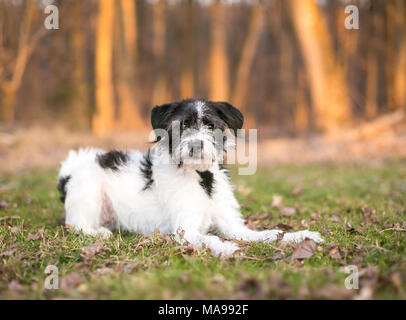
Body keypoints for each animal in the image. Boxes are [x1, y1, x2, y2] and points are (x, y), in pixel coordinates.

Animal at [58, 99, 324, 256]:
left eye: (210, 125)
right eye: (182, 126)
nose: (196, 144)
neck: (202, 178)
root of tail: (71, 170)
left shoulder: (233, 225)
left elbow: (269, 233)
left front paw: (300, 235)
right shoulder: (185, 230)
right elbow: (211, 239)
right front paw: (226, 248)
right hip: (89, 195)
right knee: (75, 225)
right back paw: (99, 232)